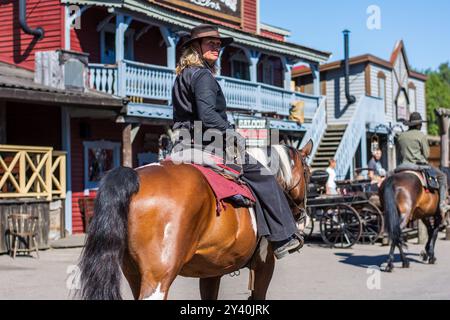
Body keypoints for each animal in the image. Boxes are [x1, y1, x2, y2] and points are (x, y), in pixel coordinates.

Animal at [77, 141, 312, 298]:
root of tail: (134, 178)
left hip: (134, 274)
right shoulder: (264, 265)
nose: (302, 216)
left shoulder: (212, 270)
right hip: (158, 278)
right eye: (308, 173)